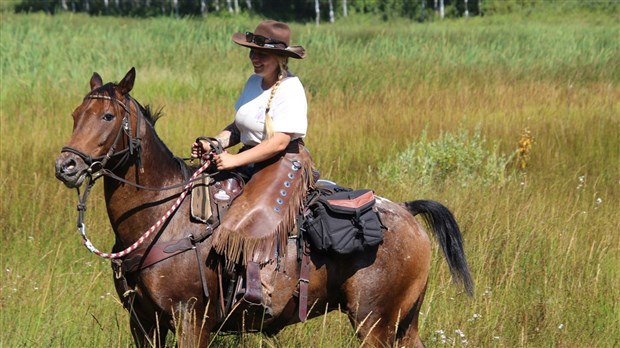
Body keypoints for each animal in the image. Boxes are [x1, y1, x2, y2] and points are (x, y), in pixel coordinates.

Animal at [55, 68, 472, 348]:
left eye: (108, 116)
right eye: (74, 115)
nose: (66, 166)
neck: (165, 220)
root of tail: (406, 211)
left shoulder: (191, 320)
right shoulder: (142, 322)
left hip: (375, 323)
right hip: (403, 322)